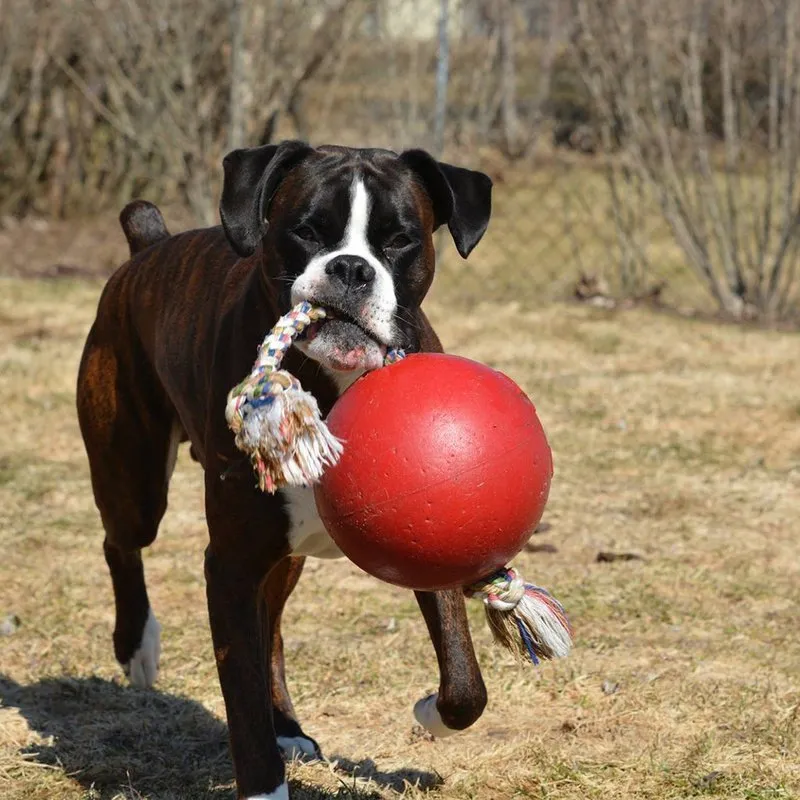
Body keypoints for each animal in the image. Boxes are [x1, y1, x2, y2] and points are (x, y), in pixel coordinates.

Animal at [78, 141, 496, 796]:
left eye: (400, 239)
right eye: (306, 230)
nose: (351, 268)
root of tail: (148, 248)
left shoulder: (425, 542)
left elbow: (464, 682)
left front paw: (432, 709)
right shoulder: (229, 564)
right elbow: (240, 694)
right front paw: (264, 778)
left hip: (282, 553)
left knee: (269, 623)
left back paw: (288, 726)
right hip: (135, 481)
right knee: (121, 543)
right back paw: (136, 645)